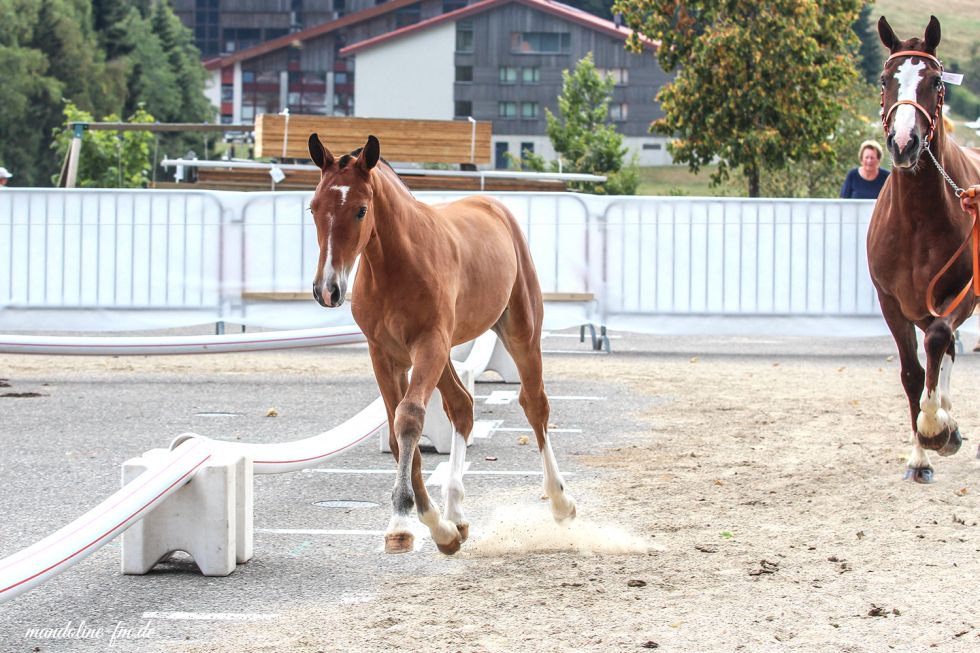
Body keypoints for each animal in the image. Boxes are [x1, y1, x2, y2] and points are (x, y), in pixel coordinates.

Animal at [306, 133, 576, 553]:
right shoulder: (385, 354)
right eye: (314, 207)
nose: (328, 290)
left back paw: (560, 502)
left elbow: (409, 419)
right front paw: (435, 529)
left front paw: (404, 520)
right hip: (445, 353)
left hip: (521, 331)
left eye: (361, 210)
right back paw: (457, 516)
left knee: (535, 404)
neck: (393, 268)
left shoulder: (428, 344)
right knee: (462, 406)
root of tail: (493, 207)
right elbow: (398, 435)